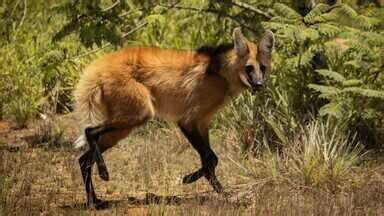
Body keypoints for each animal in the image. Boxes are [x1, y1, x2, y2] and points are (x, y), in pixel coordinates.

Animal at [74, 27, 272, 208]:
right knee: (90, 131)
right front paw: (195, 182)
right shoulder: (188, 120)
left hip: (122, 128)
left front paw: (218, 192)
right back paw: (103, 175)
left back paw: (94, 201)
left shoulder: (202, 123)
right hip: (139, 114)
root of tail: (102, 66)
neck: (220, 74)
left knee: (83, 159)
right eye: (249, 68)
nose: (259, 84)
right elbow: (210, 158)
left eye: (262, 68)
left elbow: (210, 160)